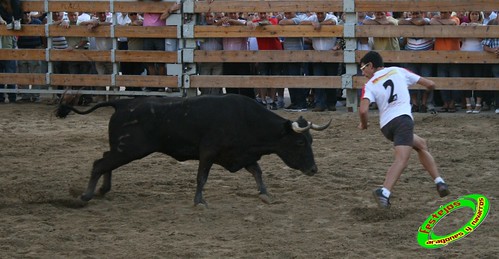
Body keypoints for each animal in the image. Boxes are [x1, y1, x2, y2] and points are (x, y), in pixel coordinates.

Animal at [55, 94, 332, 206]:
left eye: (311, 141)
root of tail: (121, 103)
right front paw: (199, 201)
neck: (246, 119)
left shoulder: (240, 154)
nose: (314, 169)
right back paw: (87, 195)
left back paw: (103, 189)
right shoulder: (208, 152)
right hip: (129, 149)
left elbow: (257, 171)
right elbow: (202, 177)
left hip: (124, 149)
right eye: (300, 143)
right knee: (100, 163)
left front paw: (265, 194)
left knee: (105, 161)